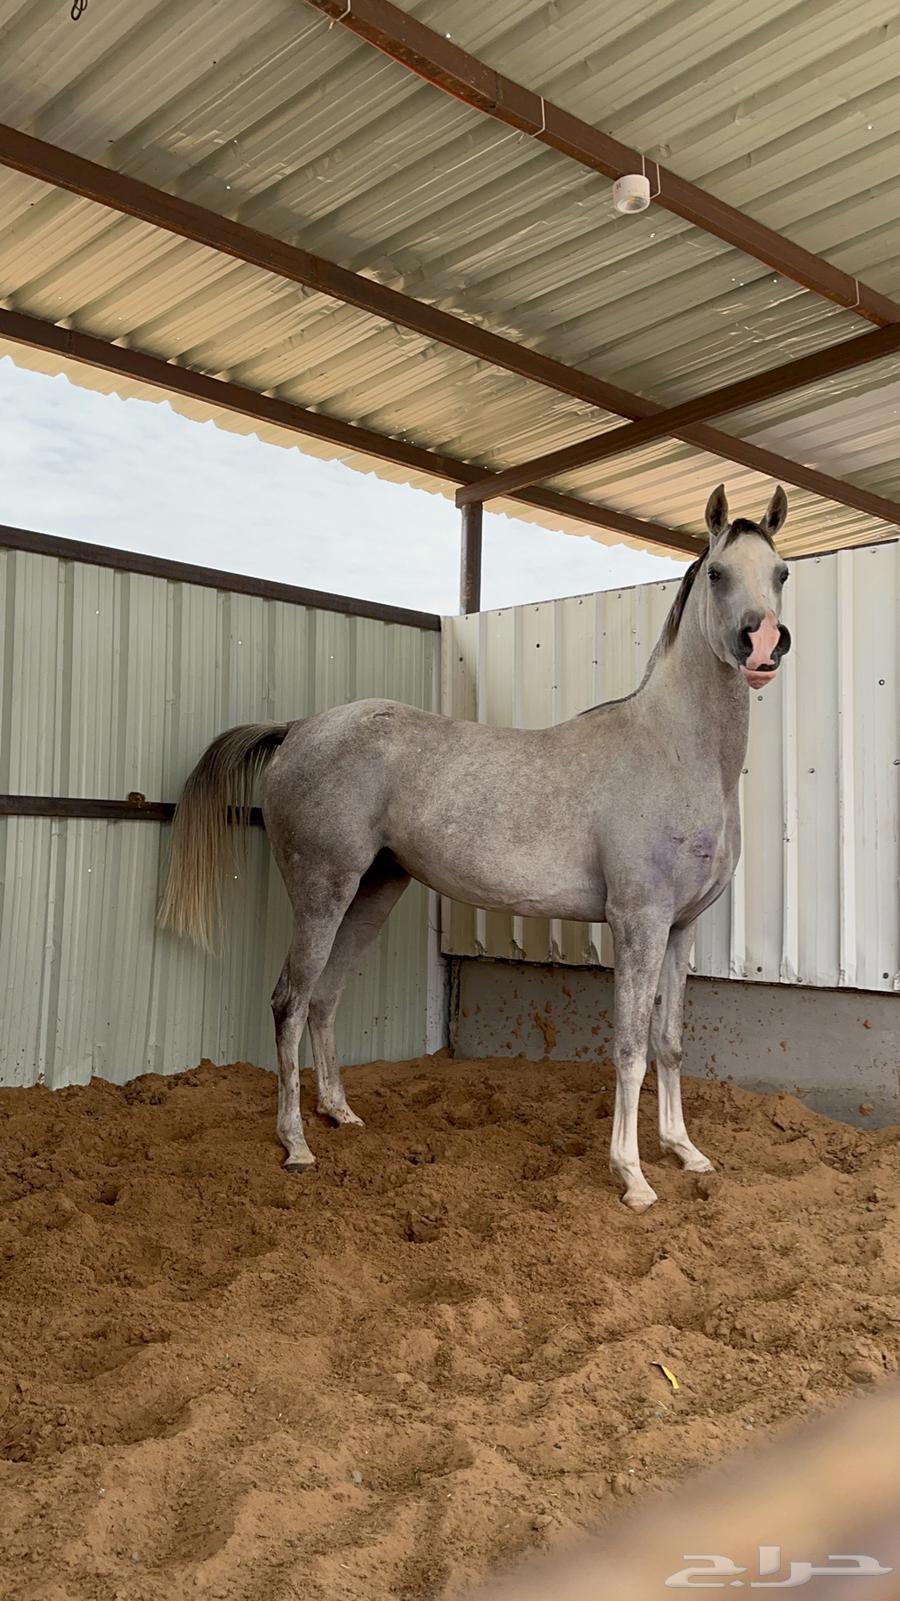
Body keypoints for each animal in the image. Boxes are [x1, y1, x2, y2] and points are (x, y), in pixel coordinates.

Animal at [159, 484, 792, 1210]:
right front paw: (632, 1177)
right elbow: (631, 1048)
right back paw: (296, 1145)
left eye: (781, 573)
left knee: (325, 998)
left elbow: (669, 1042)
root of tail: (299, 728)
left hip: (374, 892)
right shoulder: (639, 922)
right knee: (290, 1002)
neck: (675, 750)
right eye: (717, 572)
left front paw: (686, 1152)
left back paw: (341, 1114)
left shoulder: (679, 928)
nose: (765, 643)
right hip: (324, 891)